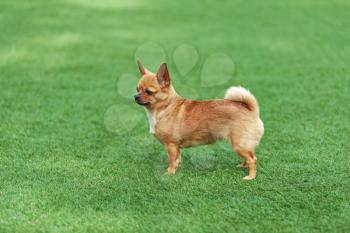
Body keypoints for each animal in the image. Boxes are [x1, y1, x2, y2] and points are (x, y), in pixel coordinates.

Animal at [134, 60, 262, 180]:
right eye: (137, 89)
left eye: (148, 91)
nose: (135, 96)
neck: (165, 107)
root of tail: (249, 108)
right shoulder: (176, 147)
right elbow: (177, 159)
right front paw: (176, 170)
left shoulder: (171, 145)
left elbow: (172, 160)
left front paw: (169, 173)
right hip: (243, 144)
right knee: (251, 156)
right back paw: (243, 166)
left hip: (239, 144)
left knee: (252, 160)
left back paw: (250, 177)